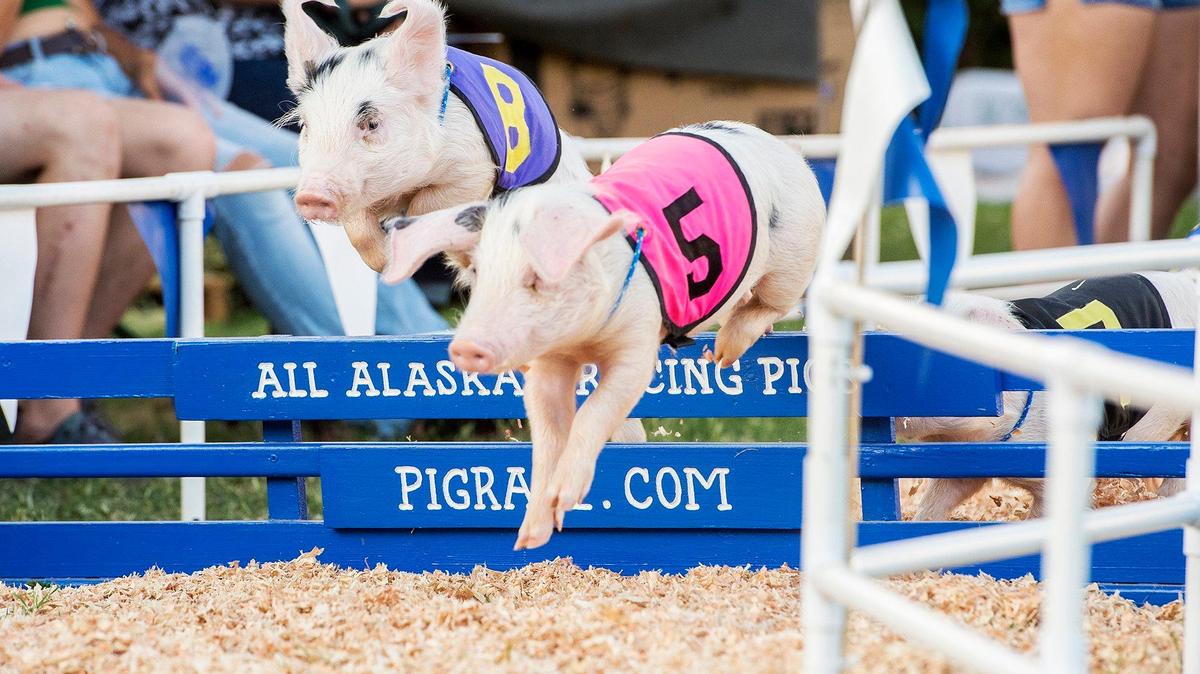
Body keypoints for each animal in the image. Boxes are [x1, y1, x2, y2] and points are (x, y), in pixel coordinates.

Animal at [281, 0, 590, 272]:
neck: (401, 190)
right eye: (306, 125)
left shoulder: (472, 168)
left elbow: (425, 208)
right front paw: (385, 262)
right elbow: (359, 230)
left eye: (372, 123)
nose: (312, 195)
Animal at [381, 121, 826, 548]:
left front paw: (564, 500)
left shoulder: (637, 347)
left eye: (537, 277)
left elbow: (596, 412)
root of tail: (779, 146)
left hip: (794, 254)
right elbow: (547, 436)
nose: (465, 347)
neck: (583, 340)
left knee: (769, 302)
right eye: (478, 273)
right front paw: (530, 537)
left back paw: (720, 355)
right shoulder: (548, 365)